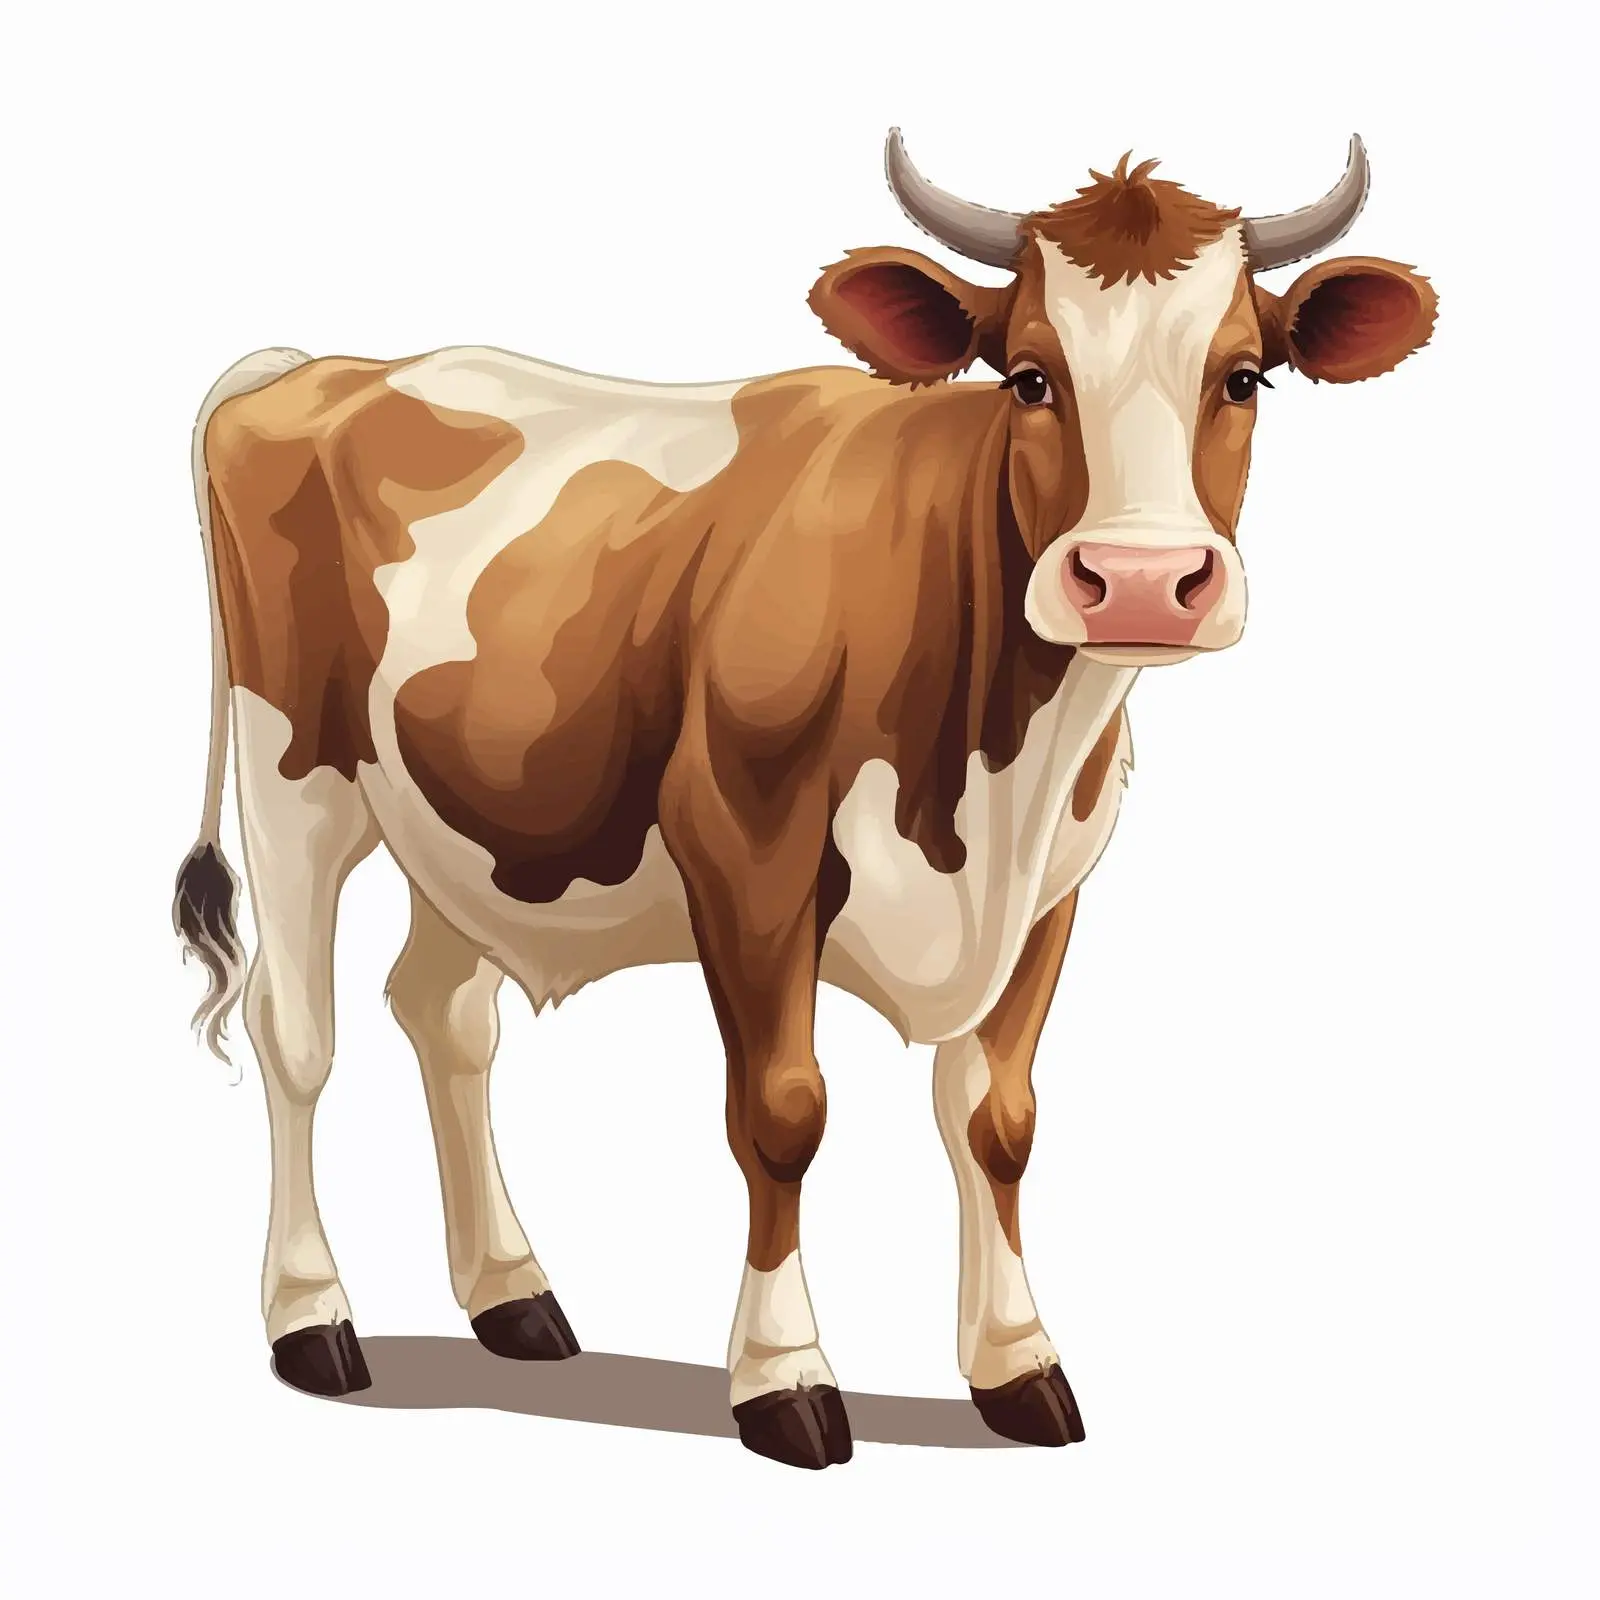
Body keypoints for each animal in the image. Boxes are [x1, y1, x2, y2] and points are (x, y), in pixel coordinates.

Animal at [172, 129, 1436, 1470]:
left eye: (1245, 376)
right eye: (1029, 376)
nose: (1140, 581)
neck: (987, 783)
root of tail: (320, 368)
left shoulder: (1050, 887)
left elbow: (998, 1119)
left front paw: (1017, 1361)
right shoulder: (746, 849)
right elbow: (781, 1112)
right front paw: (782, 1374)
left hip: (464, 816)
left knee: (444, 1014)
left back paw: (513, 1295)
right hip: (292, 775)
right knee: (298, 1031)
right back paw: (313, 1316)